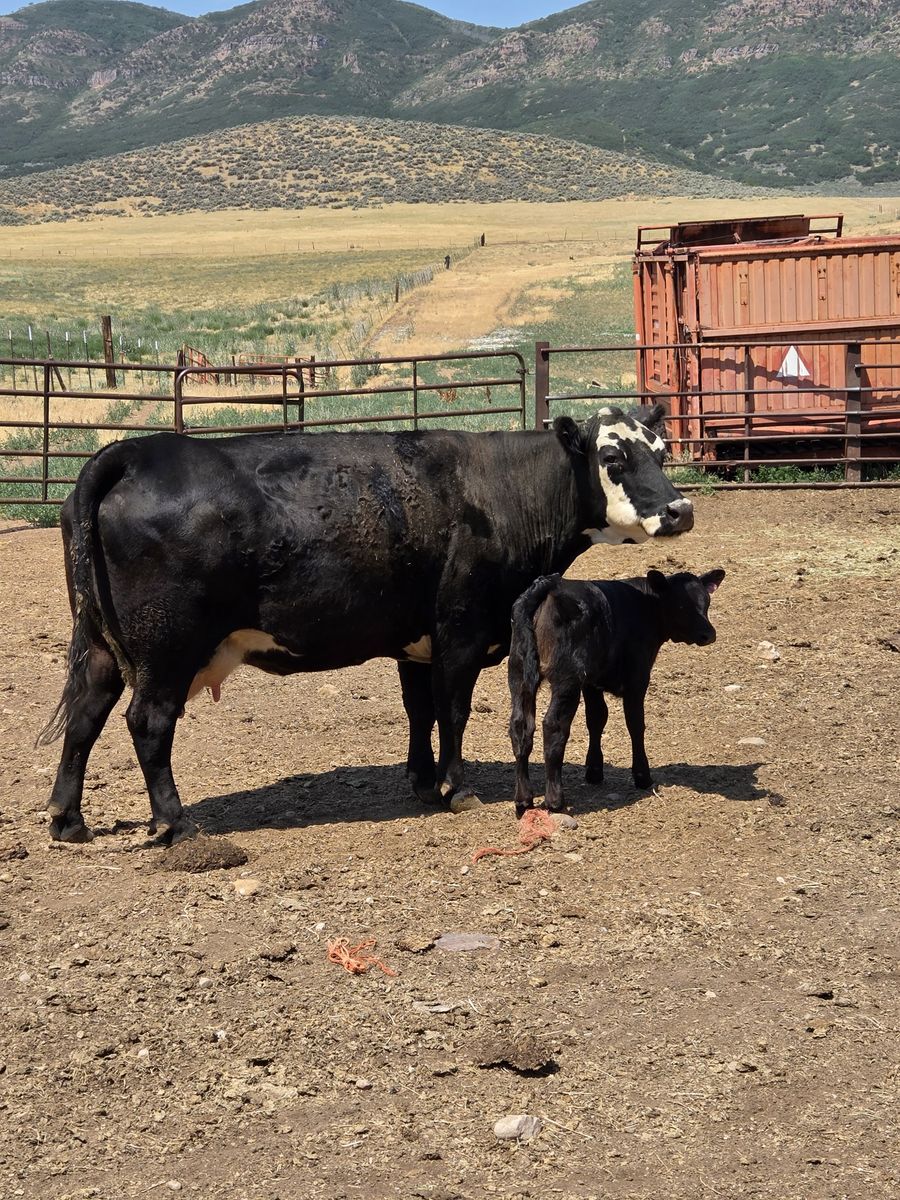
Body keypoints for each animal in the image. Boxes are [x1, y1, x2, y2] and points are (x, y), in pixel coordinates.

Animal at [40, 404, 694, 844]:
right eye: (613, 457)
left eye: (662, 451)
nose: (679, 509)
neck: (500, 490)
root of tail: (133, 453)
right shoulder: (459, 632)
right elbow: (453, 709)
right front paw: (458, 788)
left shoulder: (417, 642)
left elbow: (421, 711)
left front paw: (424, 781)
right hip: (167, 651)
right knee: (147, 722)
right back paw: (175, 822)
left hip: (100, 646)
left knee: (87, 715)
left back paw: (68, 820)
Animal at [508, 567, 725, 817]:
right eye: (681, 604)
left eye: (706, 601)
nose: (708, 634)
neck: (647, 604)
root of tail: (548, 586)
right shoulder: (637, 677)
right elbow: (635, 723)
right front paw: (642, 775)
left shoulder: (592, 683)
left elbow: (596, 719)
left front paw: (594, 770)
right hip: (566, 680)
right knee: (553, 726)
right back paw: (555, 800)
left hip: (519, 674)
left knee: (521, 727)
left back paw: (523, 799)